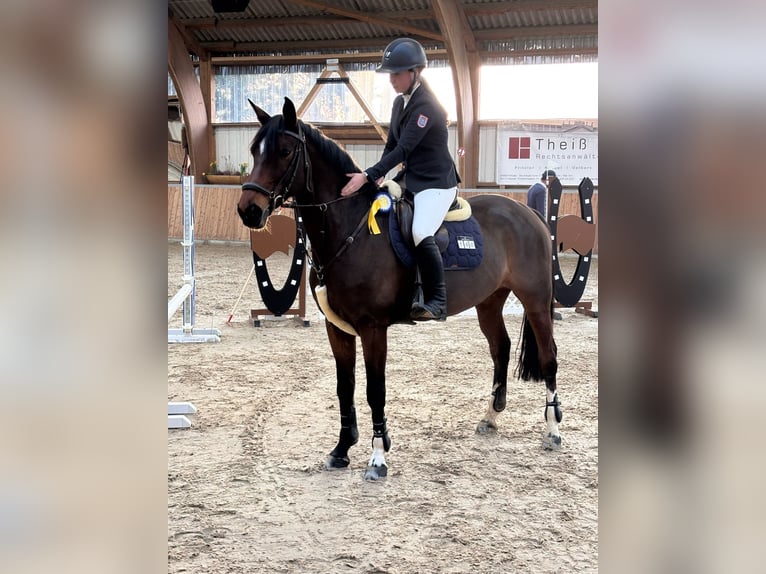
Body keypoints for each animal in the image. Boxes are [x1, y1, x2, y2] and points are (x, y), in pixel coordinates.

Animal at [237, 97, 561, 480]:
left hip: (536, 301)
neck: (349, 227)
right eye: (254, 150)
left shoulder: (373, 329)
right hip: (489, 301)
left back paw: (553, 431)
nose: (248, 211)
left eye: (285, 151)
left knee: (549, 356)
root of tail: (528, 213)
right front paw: (341, 451)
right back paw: (490, 416)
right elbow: (344, 387)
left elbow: (375, 390)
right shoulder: (337, 329)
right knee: (501, 348)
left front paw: (378, 458)